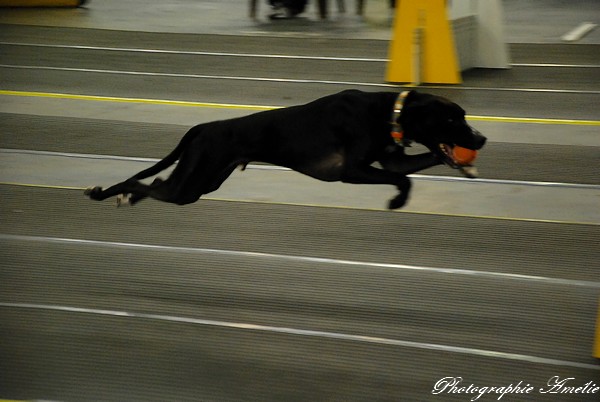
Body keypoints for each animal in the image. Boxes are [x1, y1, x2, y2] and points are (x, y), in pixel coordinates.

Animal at [85, 89, 488, 209]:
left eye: (462, 116)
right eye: (452, 119)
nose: (482, 139)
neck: (390, 111)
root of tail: (204, 127)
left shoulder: (390, 162)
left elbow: (417, 167)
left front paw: (466, 168)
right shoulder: (352, 171)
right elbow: (404, 181)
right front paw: (397, 202)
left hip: (201, 183)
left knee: (154, 184)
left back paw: (126, 198)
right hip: (192, 184)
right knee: (142, 182)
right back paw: (103, 192)